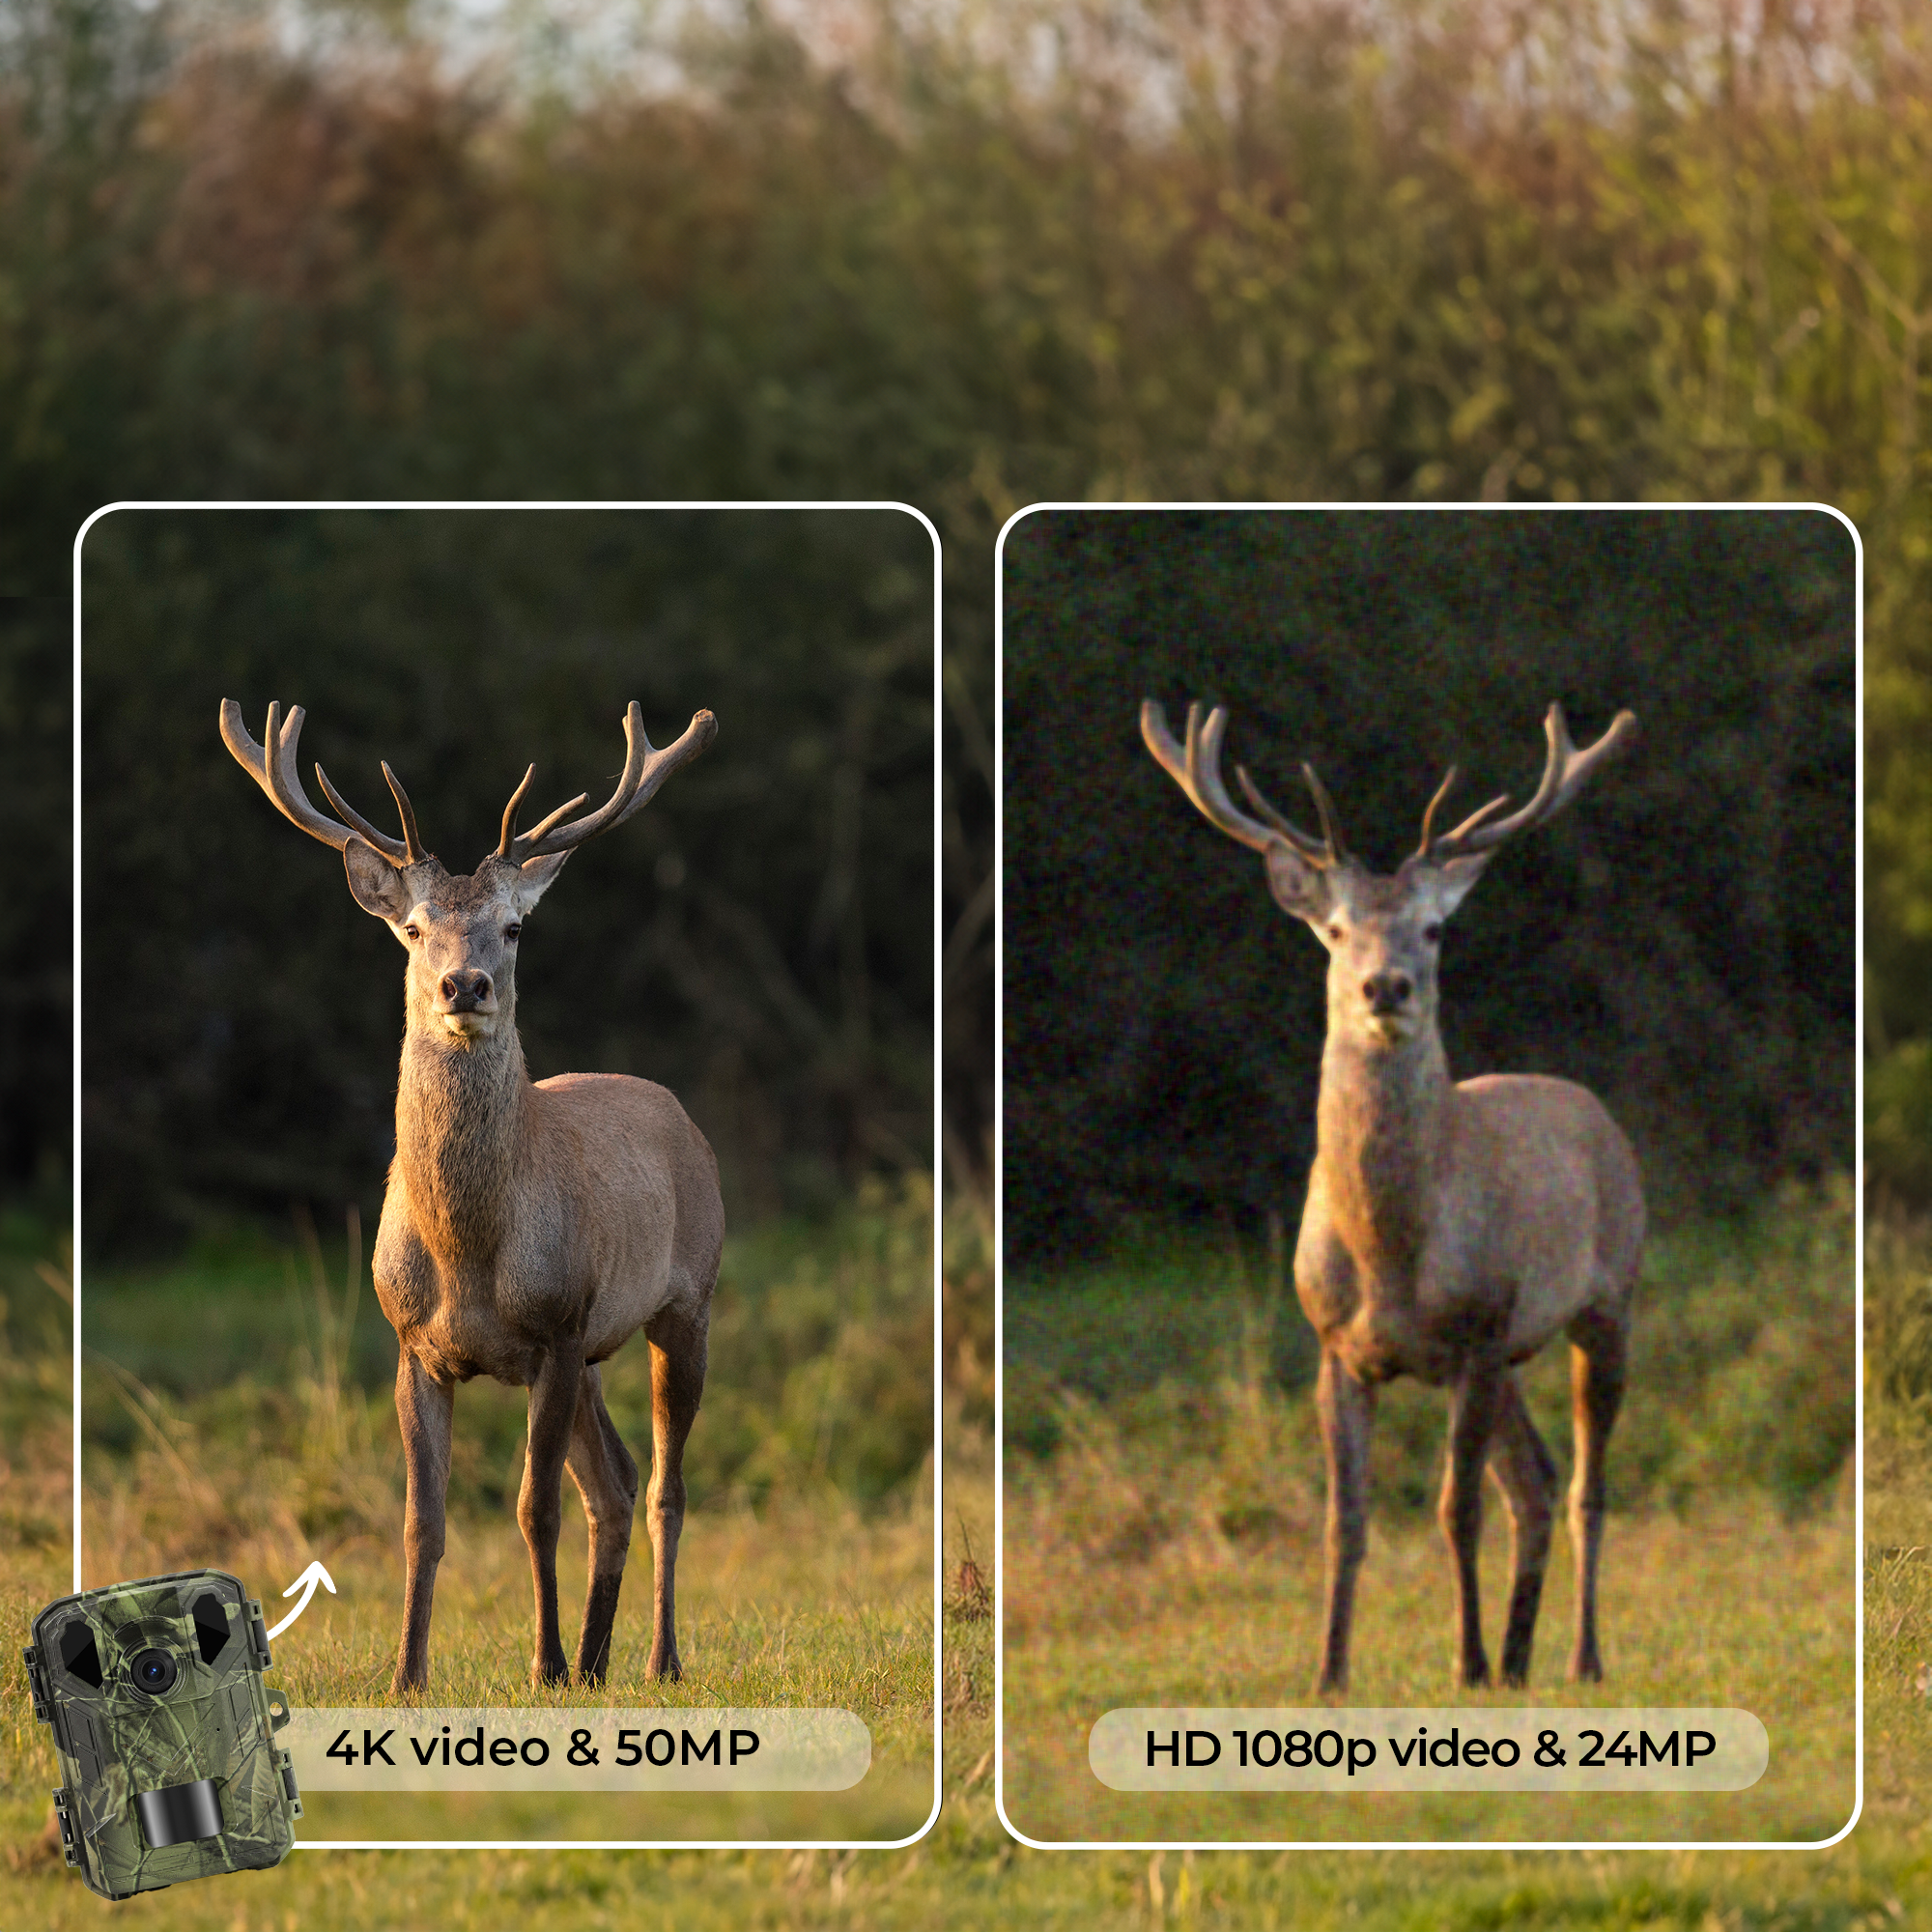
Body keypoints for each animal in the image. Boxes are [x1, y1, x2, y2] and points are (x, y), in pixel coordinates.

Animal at [220, 696, 726, 1696]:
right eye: (414, 928)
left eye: (515, 927)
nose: (465, 984)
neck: (467, 1253)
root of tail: (682, 1116)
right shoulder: (414, 1344)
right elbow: (424, 1521)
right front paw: (407, 1676)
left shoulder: (558, 1326)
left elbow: (534, 1510)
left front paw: (541, 1664)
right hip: (597, 1354)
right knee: (613, 1483)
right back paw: (599, 1663)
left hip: (684, 1301)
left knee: (661, 1488)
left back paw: (656, 1660)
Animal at [1141, 697, 1644, 1693]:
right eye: (1335, 930)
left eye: (1435, 929)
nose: (1386, 986)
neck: (1390, 1253)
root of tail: (1596, 1109)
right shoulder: (1337, 1345)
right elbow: (1348, 1521)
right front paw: (1329, 1675)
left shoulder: (1480, 1327)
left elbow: (1455, 1509)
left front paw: (1465, 1663)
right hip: (1515, 1353)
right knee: (1534, 1481)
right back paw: (1522, 1661)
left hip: (1607, 1298)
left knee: (1582, 1487)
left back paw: (1579, 1658)